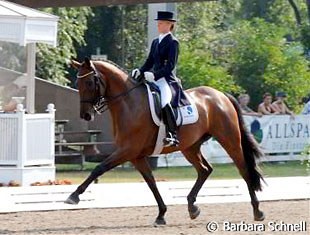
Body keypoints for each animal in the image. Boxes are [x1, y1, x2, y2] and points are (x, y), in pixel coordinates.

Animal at [66, 57, 266, 225]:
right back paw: (192, 207)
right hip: (190, 147)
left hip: (229, 139)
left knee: (243, 169)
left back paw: (257, 211)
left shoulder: (127, 151)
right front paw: (161, 214)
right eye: (77, 83)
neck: (128, 103)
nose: (86, 115)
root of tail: (221, 95)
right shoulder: (136, 156)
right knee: (205, 170)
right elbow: (151, 182)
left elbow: (99, 168)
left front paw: (74, 196)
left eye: (89, 82)